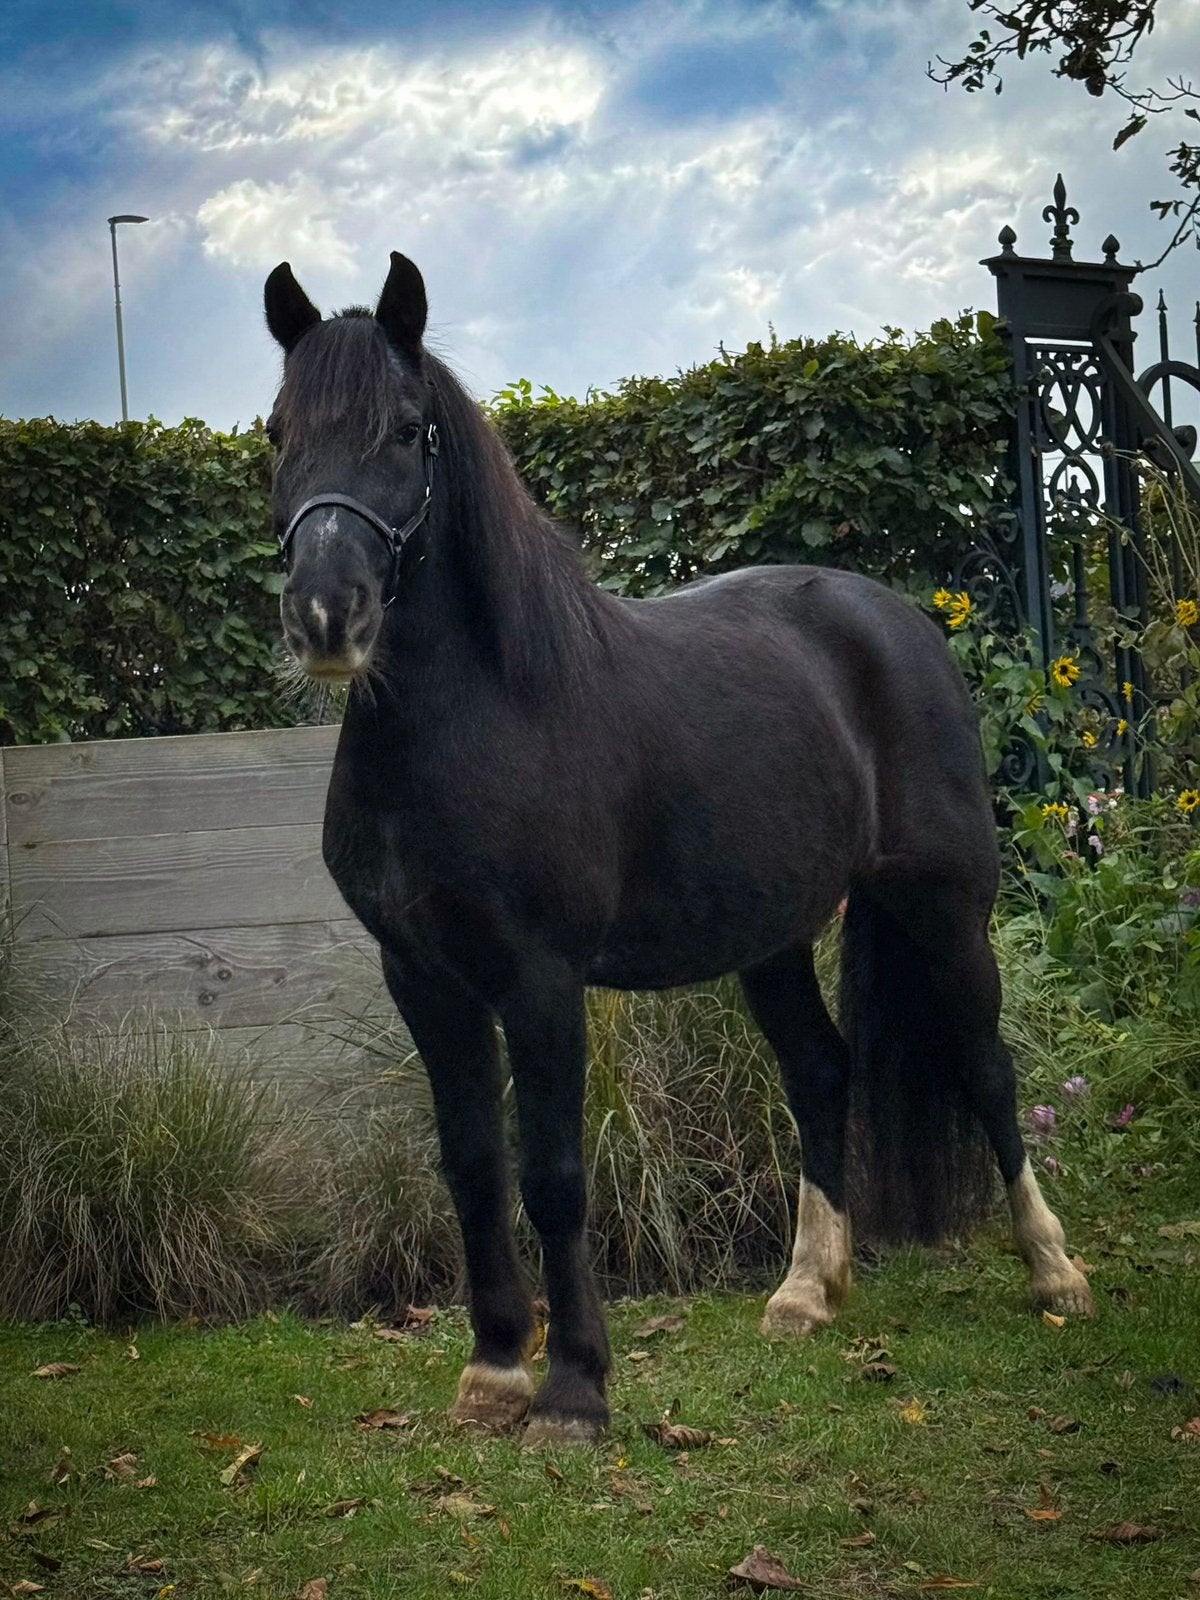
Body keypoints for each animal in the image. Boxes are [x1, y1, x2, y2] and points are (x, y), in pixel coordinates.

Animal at [262, 251, 1093, 1445]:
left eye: (409, 429)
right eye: (278, 430)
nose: (329, 616)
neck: (483, 714)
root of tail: (901, 623)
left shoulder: (542, 980)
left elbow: (554, 1174)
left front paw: (573, 1390)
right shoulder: (423, 978)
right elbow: (471, 1168)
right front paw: (494, 1369)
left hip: (946, 910)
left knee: (986, 1065)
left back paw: (1054, 1271)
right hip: (776, 936)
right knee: (822, 1070)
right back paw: (806, 1291)